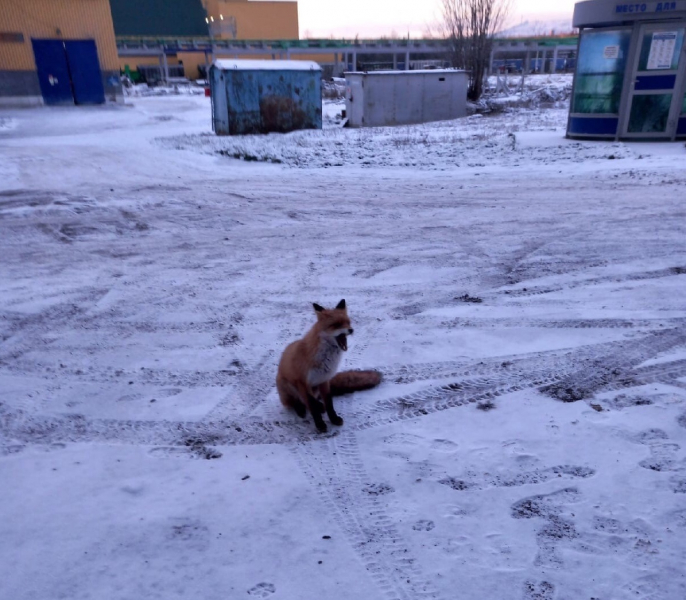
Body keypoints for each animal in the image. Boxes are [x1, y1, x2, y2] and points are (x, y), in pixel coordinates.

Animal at [276, 299, 381, 432]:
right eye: (336, 324)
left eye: (348, 323)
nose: (351, 330)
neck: (325, 358)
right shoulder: (303, 382)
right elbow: (312, 406)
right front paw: (320, 424)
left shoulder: (324, 380)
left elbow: (329, 403)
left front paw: (334, 419)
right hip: (287, 384)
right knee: (296, 402)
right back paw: (301, 409)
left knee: (311, 401)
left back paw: (319, 406)